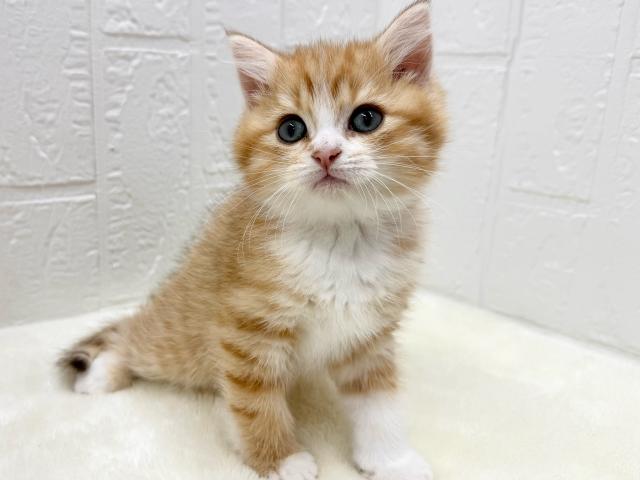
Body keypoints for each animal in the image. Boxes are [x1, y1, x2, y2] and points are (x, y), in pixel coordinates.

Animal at [58, 1, 446, 479]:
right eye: (291, 129)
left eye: (366, 118)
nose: (326, 153)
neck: (338, 239)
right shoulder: (244, 330)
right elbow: (254, 401)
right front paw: (281, 459)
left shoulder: (368, 335)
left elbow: (378, 400)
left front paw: (392, 459)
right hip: (180, 338)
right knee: (133, 335)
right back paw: (103, 374)